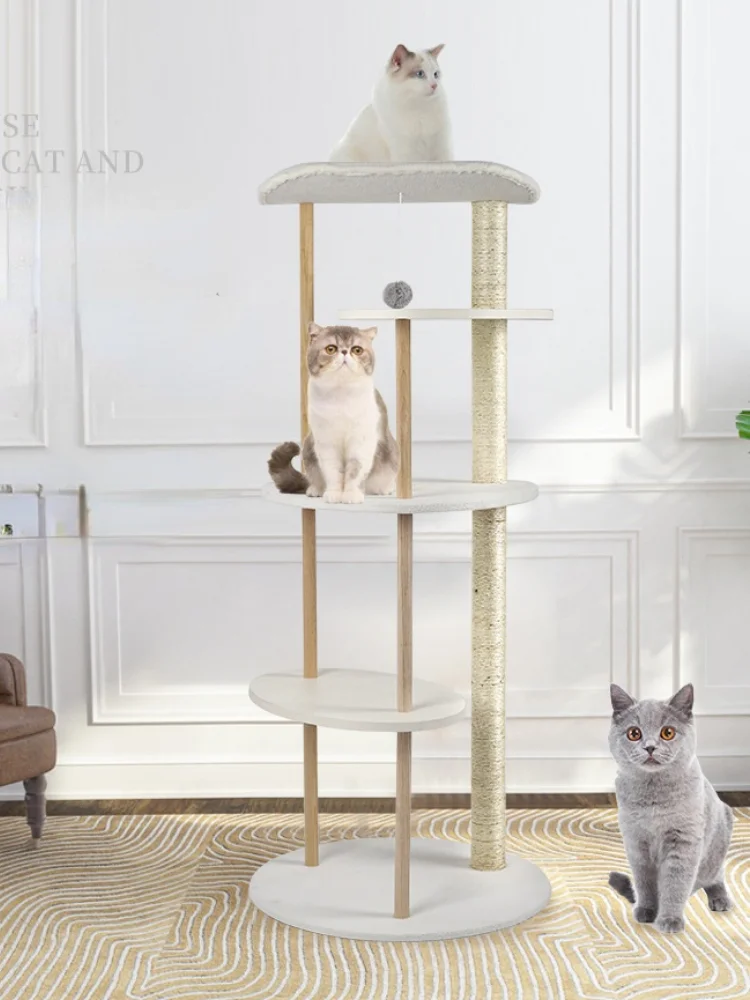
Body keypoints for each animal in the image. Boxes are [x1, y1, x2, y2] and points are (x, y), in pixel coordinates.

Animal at [268, 323, 399, 504]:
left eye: (357, 350)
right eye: (331, 349)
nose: (344, 351)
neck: (340, 396)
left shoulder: (361, 442)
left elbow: (354, 471)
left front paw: (351, 495)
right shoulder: (326, 442)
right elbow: (332, 471)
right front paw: (334, 494)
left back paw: (384, 489)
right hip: (309, 447)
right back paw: (315, 489)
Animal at [608, 683, 734, 934]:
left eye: (668, 732)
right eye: (634, 733)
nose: (650, 747)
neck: (653, 799)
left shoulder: (683, 840)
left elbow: (675, 883)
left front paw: (669, 920)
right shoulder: (635, 841)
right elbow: (644, 882)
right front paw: (646, 911)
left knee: (716, 875)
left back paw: (720, 899)